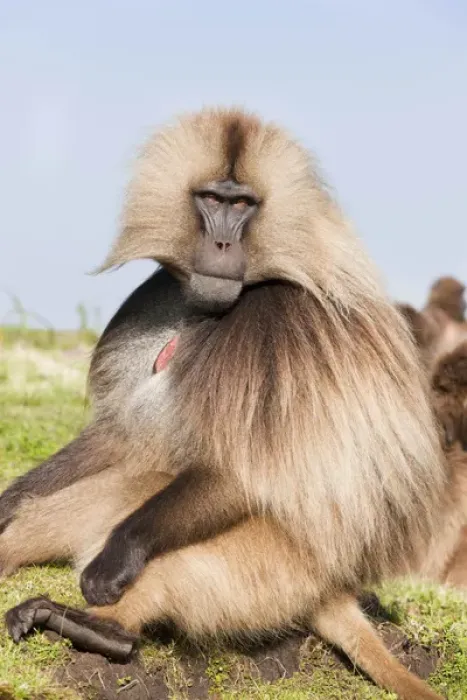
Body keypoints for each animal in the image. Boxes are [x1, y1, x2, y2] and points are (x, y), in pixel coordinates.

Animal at [0, 107, 452, 699]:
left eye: (243, 206)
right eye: (212, 199)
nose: (219, 247)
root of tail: (332, 589)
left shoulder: (280, 324)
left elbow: (238, 472)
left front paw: (113, 561)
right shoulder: (154, 296)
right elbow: (119, 434)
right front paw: (7, 500)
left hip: (271, 566)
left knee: (133, 497)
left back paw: (95, 627)